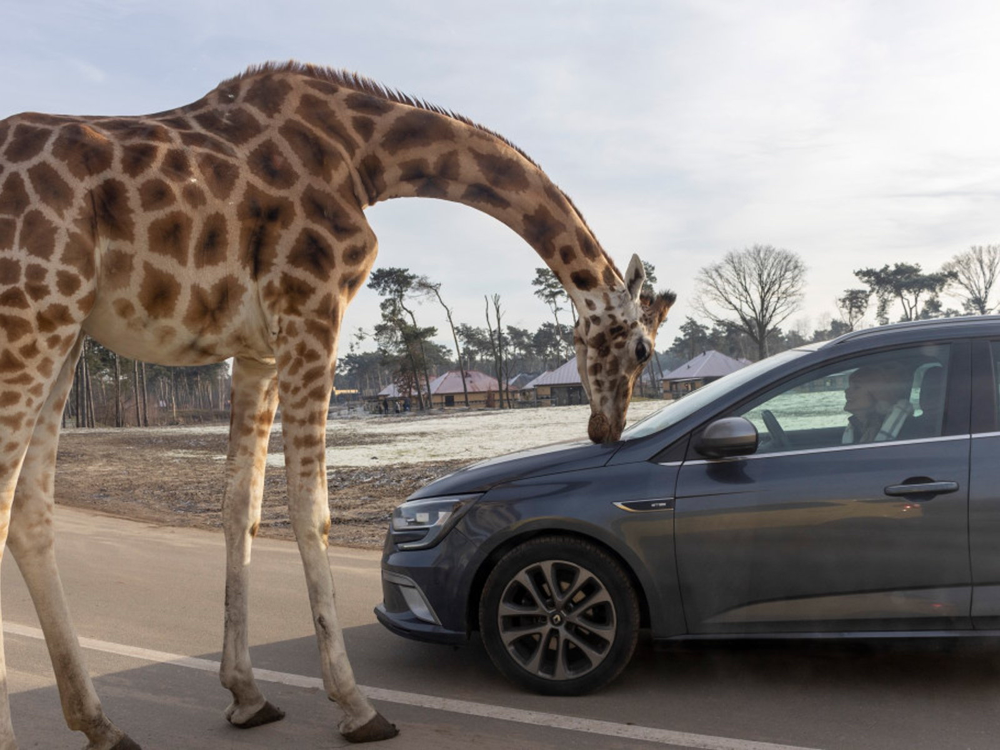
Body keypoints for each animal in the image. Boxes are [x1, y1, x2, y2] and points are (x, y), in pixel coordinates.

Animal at [0, 64, 680, 750]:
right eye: (643, 348)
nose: (606, 427)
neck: (365, 158)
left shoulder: (257, 350)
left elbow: (241, 510)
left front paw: (247, 696)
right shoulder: (313, 310)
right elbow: (311, 511)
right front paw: (356, 706)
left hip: (67, 329)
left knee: (31, 512)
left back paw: (102, 724)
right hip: (31, 314)